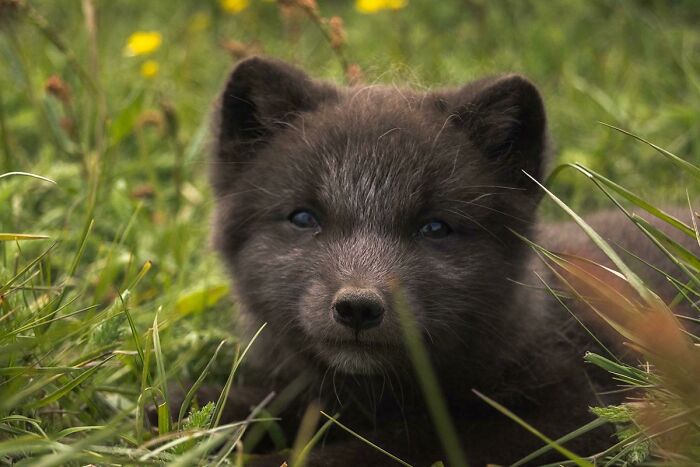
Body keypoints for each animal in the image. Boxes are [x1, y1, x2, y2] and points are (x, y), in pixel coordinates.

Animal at [207, 56, 696, 466]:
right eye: (304, 218)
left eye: (435, 228)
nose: (358, 307)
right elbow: (229, 403)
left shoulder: (575, 413)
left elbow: (385, 449)